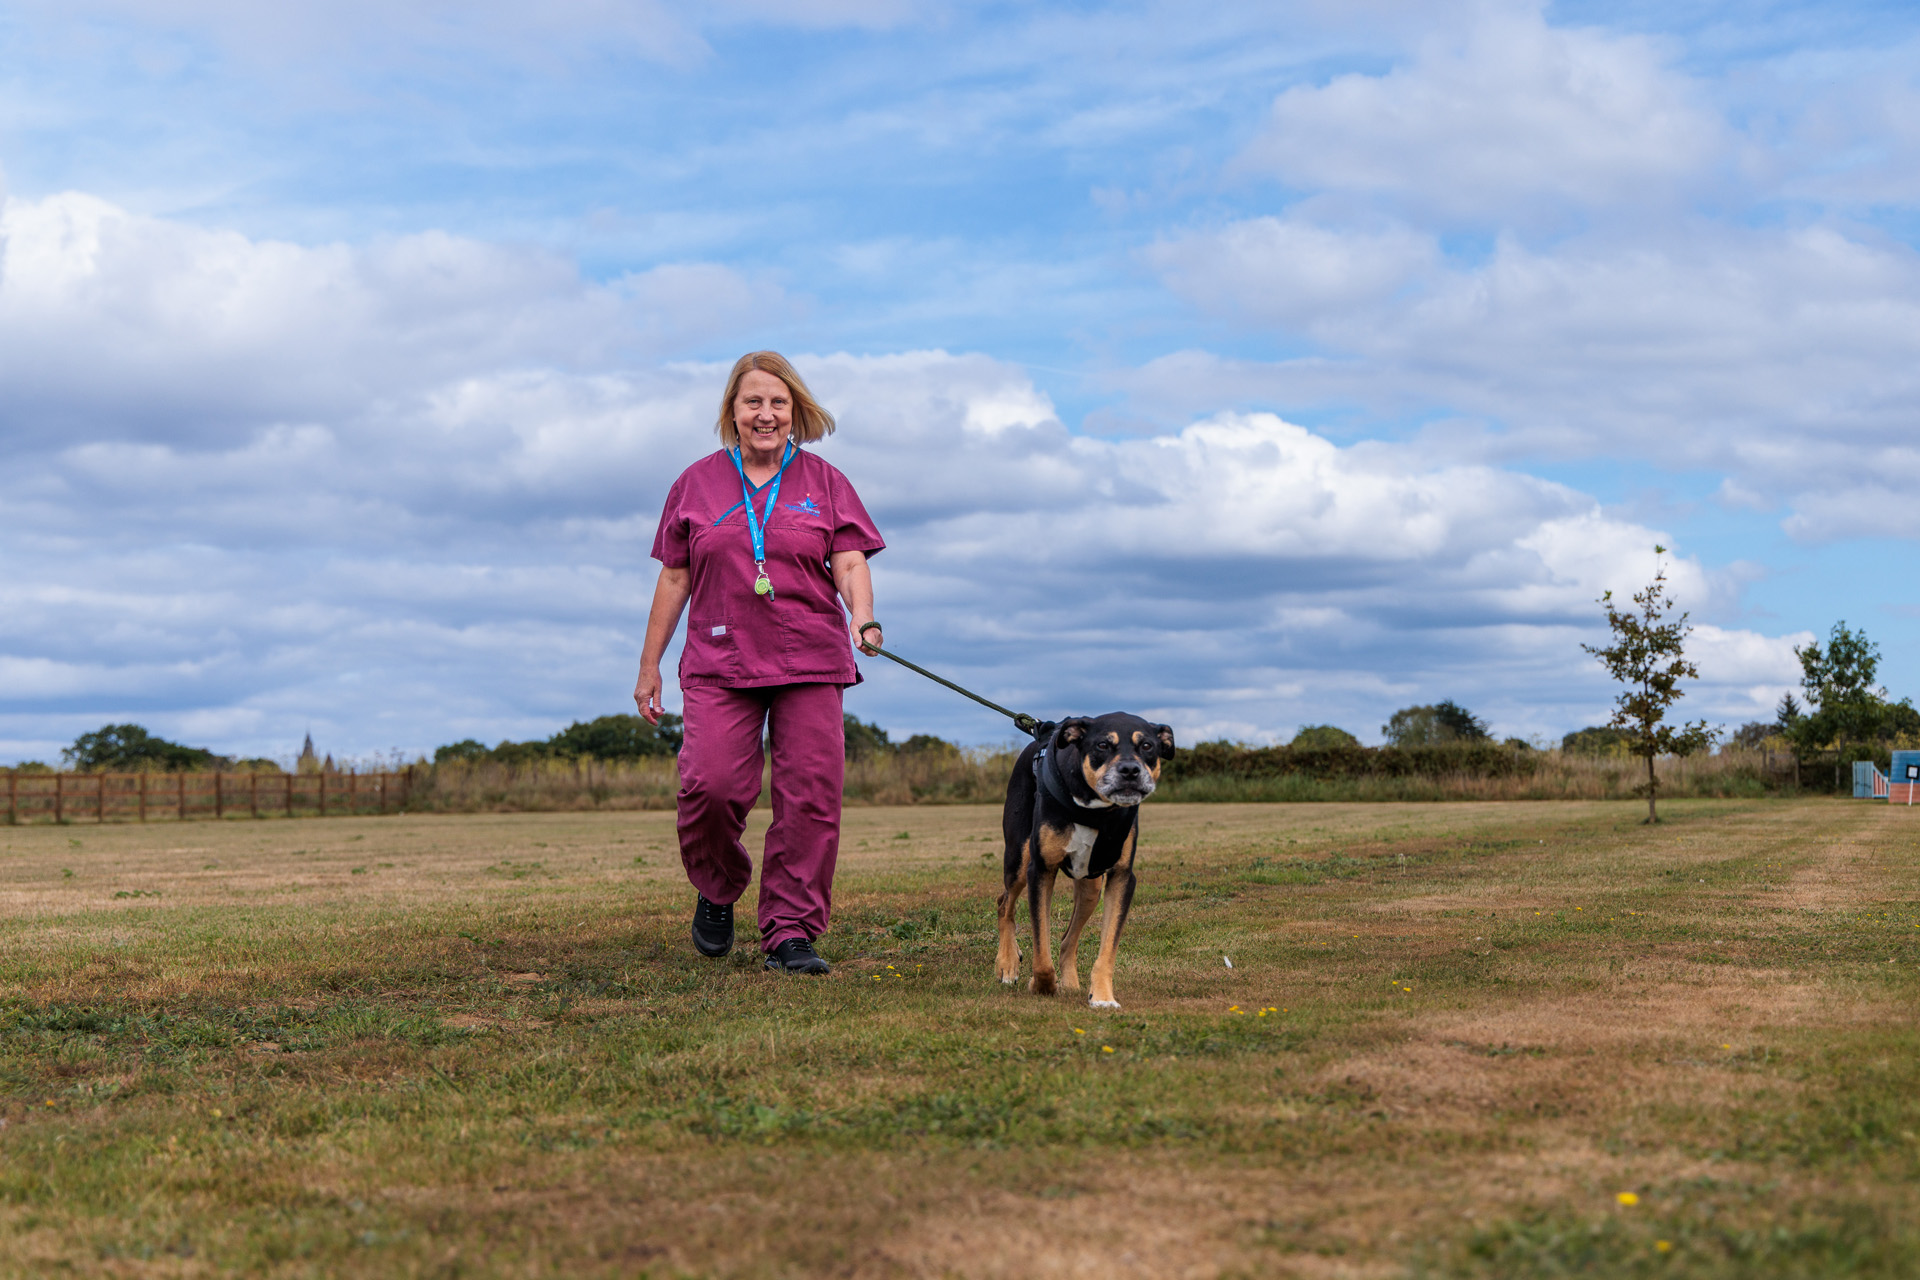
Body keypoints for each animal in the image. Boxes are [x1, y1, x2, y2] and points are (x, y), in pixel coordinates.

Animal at [1006, 717, 1167, 1005]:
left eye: (1147, 745)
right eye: (1102, 745)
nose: (1130, 770)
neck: (1095, 810)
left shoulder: (1121, 877)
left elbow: (1108, 948)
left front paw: (1102, 996)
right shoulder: (1041, 870)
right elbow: (1041, 947)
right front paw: (1041, 986)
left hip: (1091, 888)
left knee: (1067, 940)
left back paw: (1070, 983)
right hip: (1018, 860)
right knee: (1004, 904)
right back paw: (1007, 964)